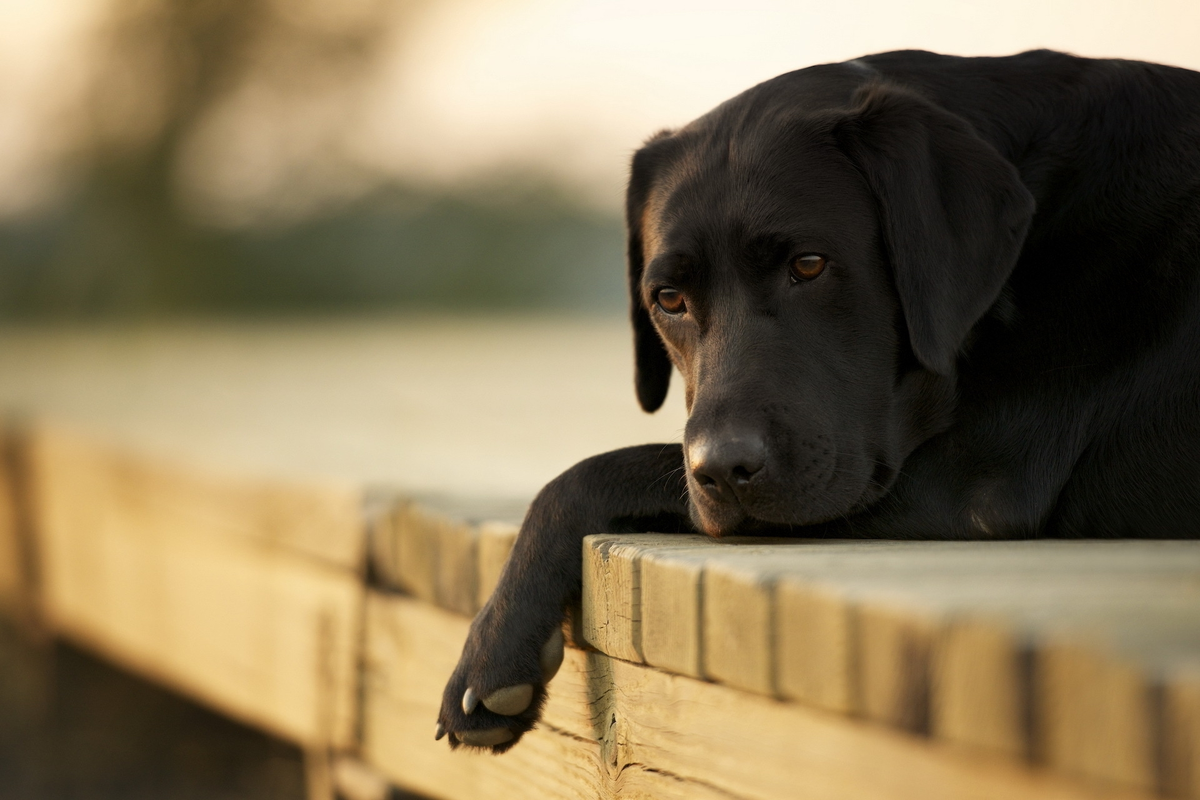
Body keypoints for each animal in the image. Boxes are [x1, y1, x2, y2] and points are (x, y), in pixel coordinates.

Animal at [436, 48, 1200, 753]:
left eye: (809, 265)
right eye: (669, 298)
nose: (722, 470)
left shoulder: (973, 482)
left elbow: (588, 471)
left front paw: (494, 647)